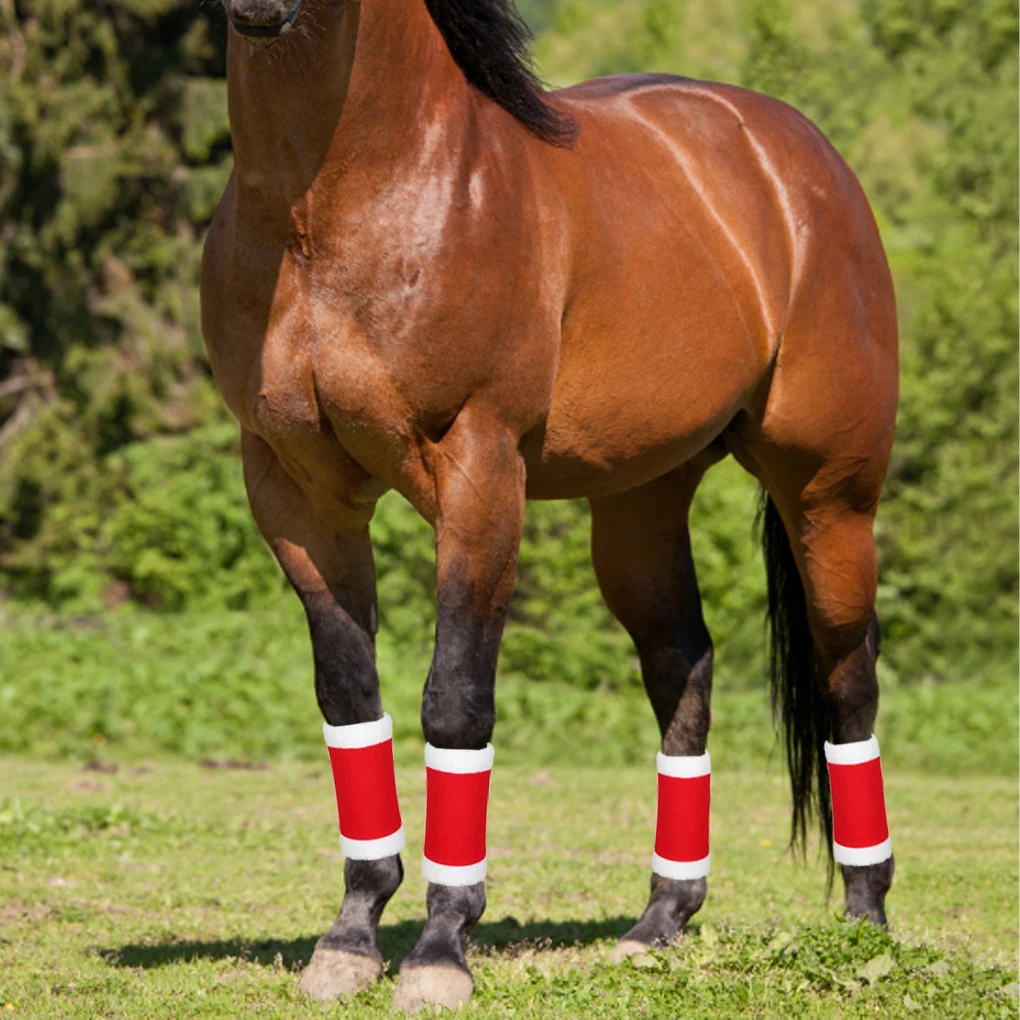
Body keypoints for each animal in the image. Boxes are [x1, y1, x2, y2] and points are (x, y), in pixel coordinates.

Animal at [200, 0, 898, 1010]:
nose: (262, 4)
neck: (327, 206)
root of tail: (801, 158)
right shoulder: (295, 493)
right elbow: (349, 699)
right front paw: (352, 936)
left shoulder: (481, 474)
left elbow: (456, 701)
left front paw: (440, 950)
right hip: (641, 504)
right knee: (683, 667)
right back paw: (660, 922)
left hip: (830, 497)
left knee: (848, 676)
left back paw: (864, 921)